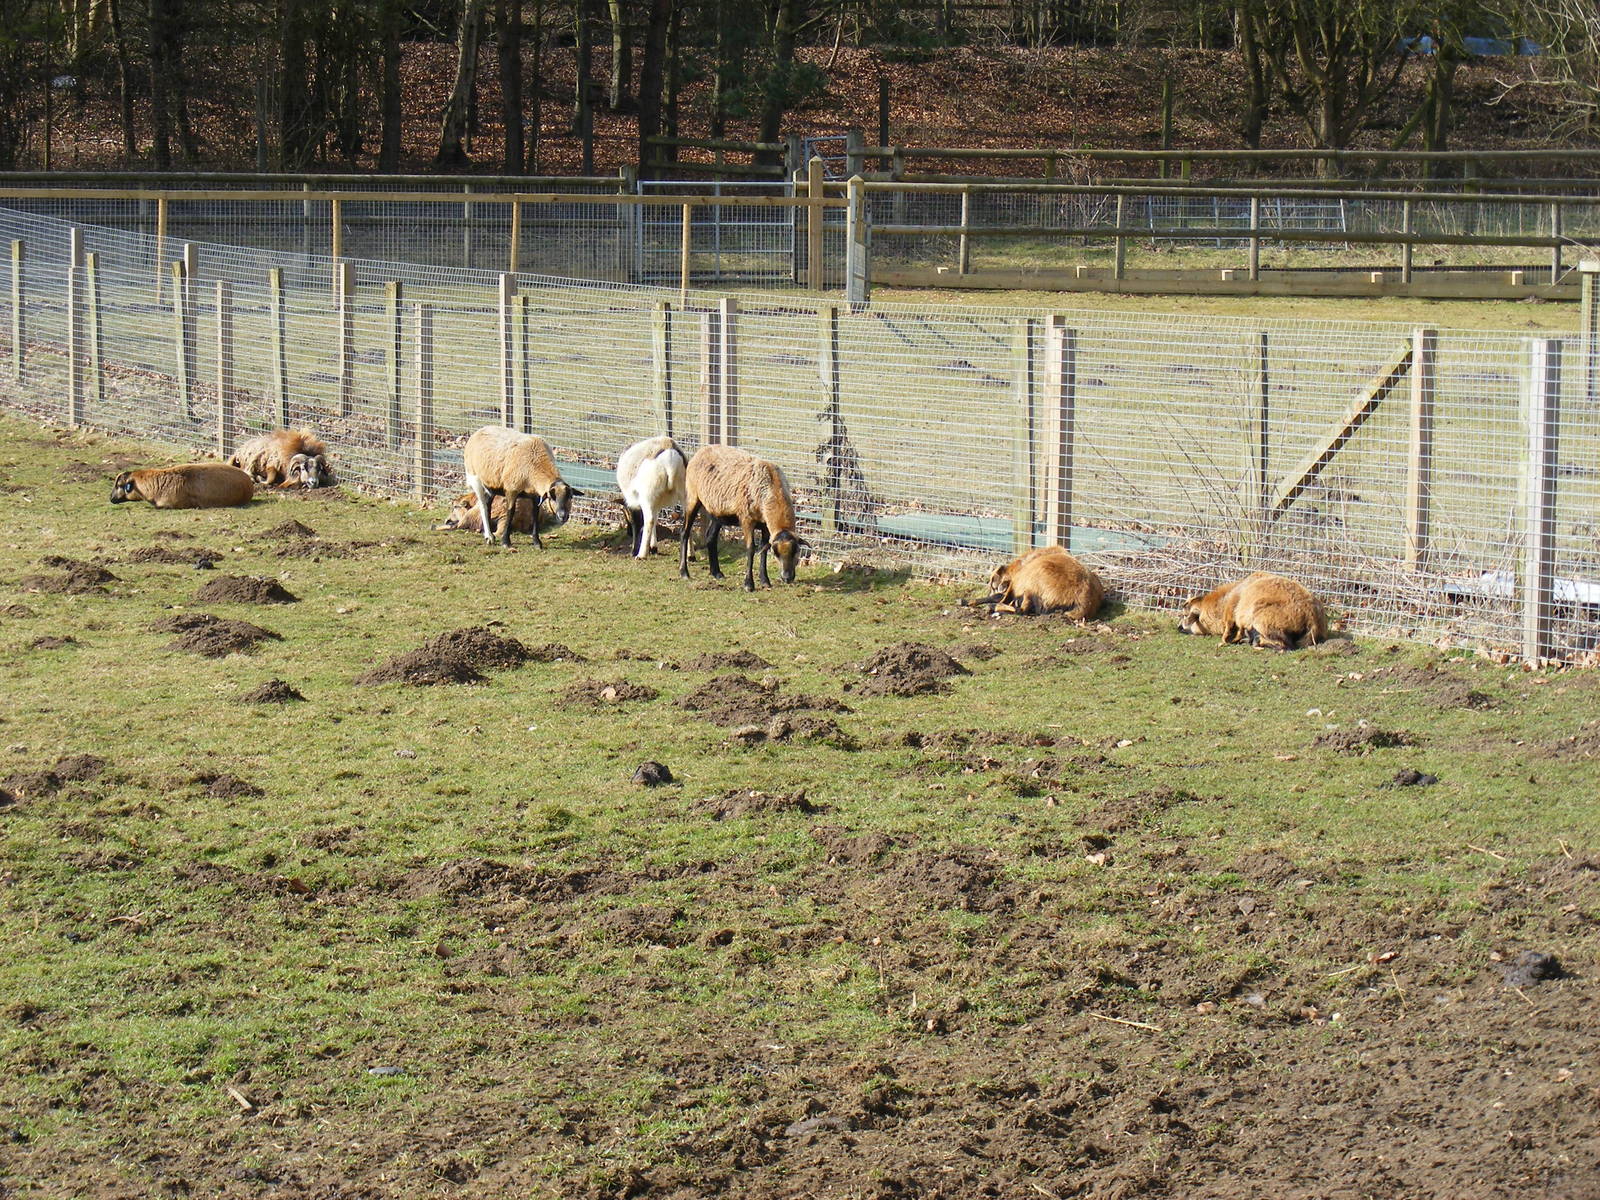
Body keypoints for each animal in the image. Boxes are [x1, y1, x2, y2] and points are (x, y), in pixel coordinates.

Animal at [678, 444, 808, 591]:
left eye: (797, 550)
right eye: (776, 553)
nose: (787, 578)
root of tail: (700, 451)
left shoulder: (765, 526)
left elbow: (763, 549)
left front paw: (765, 581)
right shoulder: (746, 519)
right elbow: (751, 549)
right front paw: (748, 584)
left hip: (717, 512)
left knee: (711, 537)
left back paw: (716, 573)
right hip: (692, 498)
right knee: (684, 532)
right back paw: (684, 572)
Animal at [968, 544, 1104, 620]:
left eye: (992, 586)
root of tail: (1082, 601)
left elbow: (999, 597)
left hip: (1031, 582)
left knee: (1021, 610)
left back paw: (993, 607)